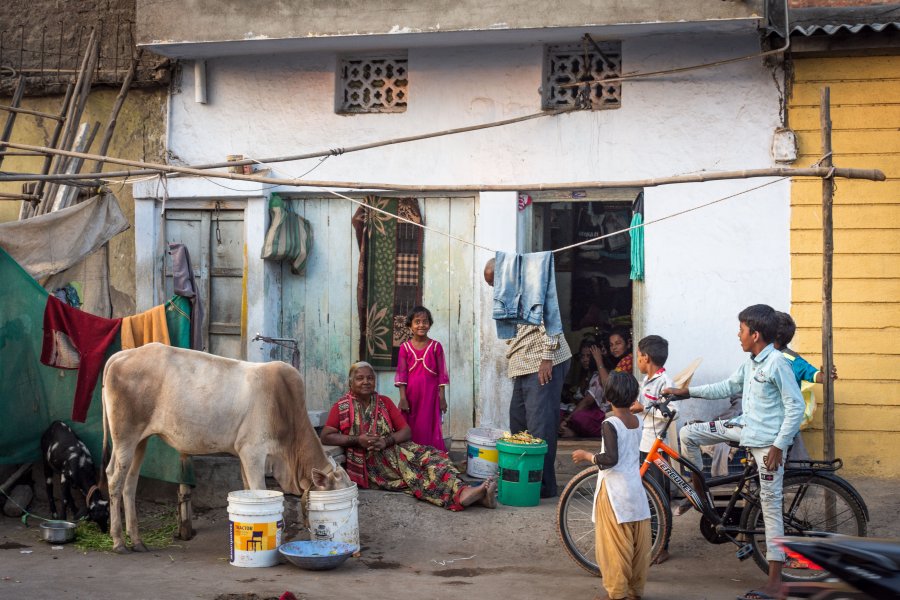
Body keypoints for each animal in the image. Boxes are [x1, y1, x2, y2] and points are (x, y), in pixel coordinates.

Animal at [102, 342, 348, 552]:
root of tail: (122, 355)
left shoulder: (243, 456)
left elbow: (249, 491)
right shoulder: (252, 452)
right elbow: (259, 491)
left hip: (140, 440)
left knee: (129, 483)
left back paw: (137, 541)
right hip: (125, 436)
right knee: (114, 479)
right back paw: (118, 542)